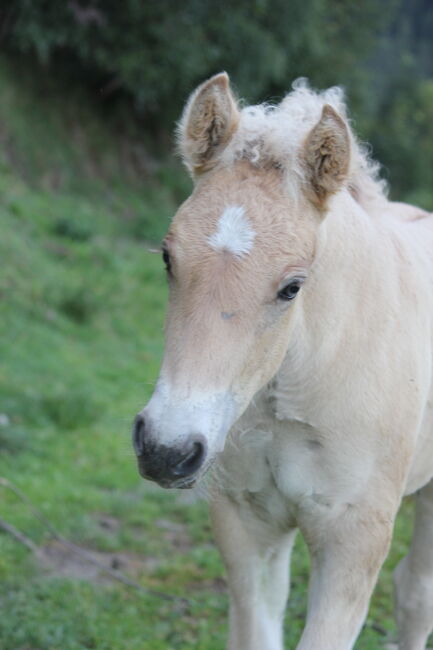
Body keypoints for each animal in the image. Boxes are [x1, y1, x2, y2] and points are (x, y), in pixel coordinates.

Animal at [131, 73, 432, 644]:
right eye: (167, 258)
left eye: (292, 287)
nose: (165, 449)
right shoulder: (246, 521)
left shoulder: (353, 540)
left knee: (415, 595)